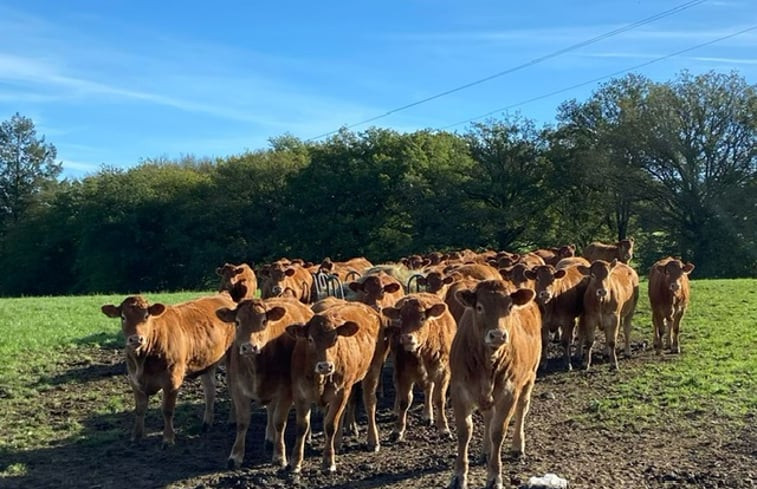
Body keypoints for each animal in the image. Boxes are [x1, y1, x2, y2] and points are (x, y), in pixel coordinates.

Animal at [100, 294, 235, 446]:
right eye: (123, 317)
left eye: (146, 316)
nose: (135, 339)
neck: (143, 360)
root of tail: (222, 296)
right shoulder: (134, 381)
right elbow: (139, 410)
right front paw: (136, 436)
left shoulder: (172, 381)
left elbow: (167, 410)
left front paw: (168, 438)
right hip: (207, 363)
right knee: (210, 391)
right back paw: (206, 423)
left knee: (232, 389)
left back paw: (232, 420)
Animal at [214, 296, 312, 468]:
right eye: (237, 322)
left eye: (264, 321)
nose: (249, 347)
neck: (256, 369)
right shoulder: (238, 390)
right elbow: (242, 422)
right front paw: (235, 456)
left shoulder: (286, 391)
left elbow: (280, 422)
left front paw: (279, 455)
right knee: (270, 409)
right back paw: (270, 437)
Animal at [286, 302, 386, 472]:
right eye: (310, 339)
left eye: (335, 338)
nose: (325, 366)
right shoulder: (300, 394)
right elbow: (302, 427)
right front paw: (295, 462)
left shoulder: (340, 392)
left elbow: (330, 425)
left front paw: (328, 462)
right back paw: (338, 443)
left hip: (373, 369)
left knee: (370, 403)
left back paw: (373, 441)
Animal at [384, 294, 454, 442]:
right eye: (401, 318)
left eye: (422, 318)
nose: (406, 338)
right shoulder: (403, 373)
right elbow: (404, 401)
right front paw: (397, 430)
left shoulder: (443, 373)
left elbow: (439, 400)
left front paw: (444, 429)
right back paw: (396, 411)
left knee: (429, 389)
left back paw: (428, 415)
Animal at [446, 280, 540, 488]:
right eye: (479, 307)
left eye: (510, 306)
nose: (497, 335)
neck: (487, 362)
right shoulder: (459, 390)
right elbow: (465, 431)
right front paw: (458, 476)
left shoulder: (508, 392)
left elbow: (498, 431)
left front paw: (494, 477)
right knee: (489, 415)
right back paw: (486, 450)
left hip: (530, 377)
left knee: (522, 408)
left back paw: (517, 446)